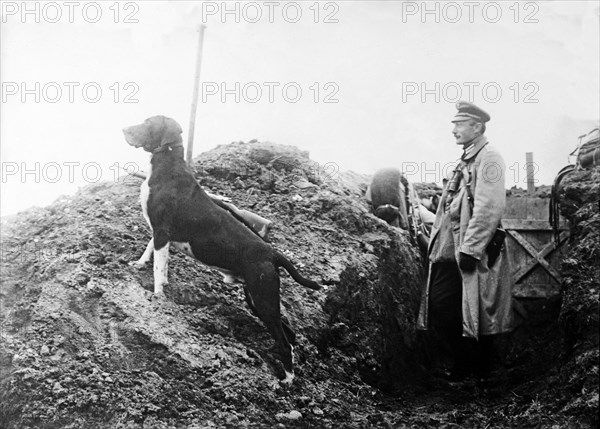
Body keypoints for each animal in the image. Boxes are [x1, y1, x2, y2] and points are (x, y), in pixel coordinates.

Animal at [123, 115, 322, 382]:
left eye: (149, 123)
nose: (124, 129)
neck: (166, 166)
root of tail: (272, 253)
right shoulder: (159, 232)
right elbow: (151, 252)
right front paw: (139, 264)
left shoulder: (162, 231)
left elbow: (158, 268)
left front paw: (157, 294)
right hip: (257, 299)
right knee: (289, 335)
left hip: (263, 299)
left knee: (282, 339)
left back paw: (286, 379)